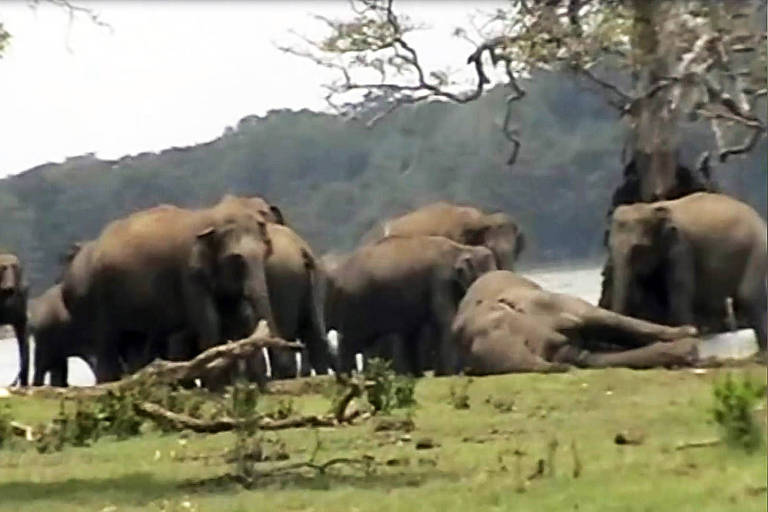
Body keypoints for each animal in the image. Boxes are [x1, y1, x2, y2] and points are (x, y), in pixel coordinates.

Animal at [60, 196, 280, 384]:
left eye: (267, 250)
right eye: (236, 258)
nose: (268, 382)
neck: (210, 217)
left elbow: (237, 318)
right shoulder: (189, 274)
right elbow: (210, 322)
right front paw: (219, 389)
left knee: (135, 344)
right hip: (96, 299)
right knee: (107, 344)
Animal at [330, 236, 498, 376]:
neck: (462, 248)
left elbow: (413, 332)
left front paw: (418, 376)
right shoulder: (439, 281)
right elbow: (445, 321)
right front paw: (449, 375)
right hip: (353, 304)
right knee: (348, 341)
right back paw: (344, 378)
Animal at [608, 192, 764, 352]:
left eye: (638, 249)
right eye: (609, 246)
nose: (615, 346)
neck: (652, 207)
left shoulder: (681, 247)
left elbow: (679, 290)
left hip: (758, 250)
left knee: (748, 296)